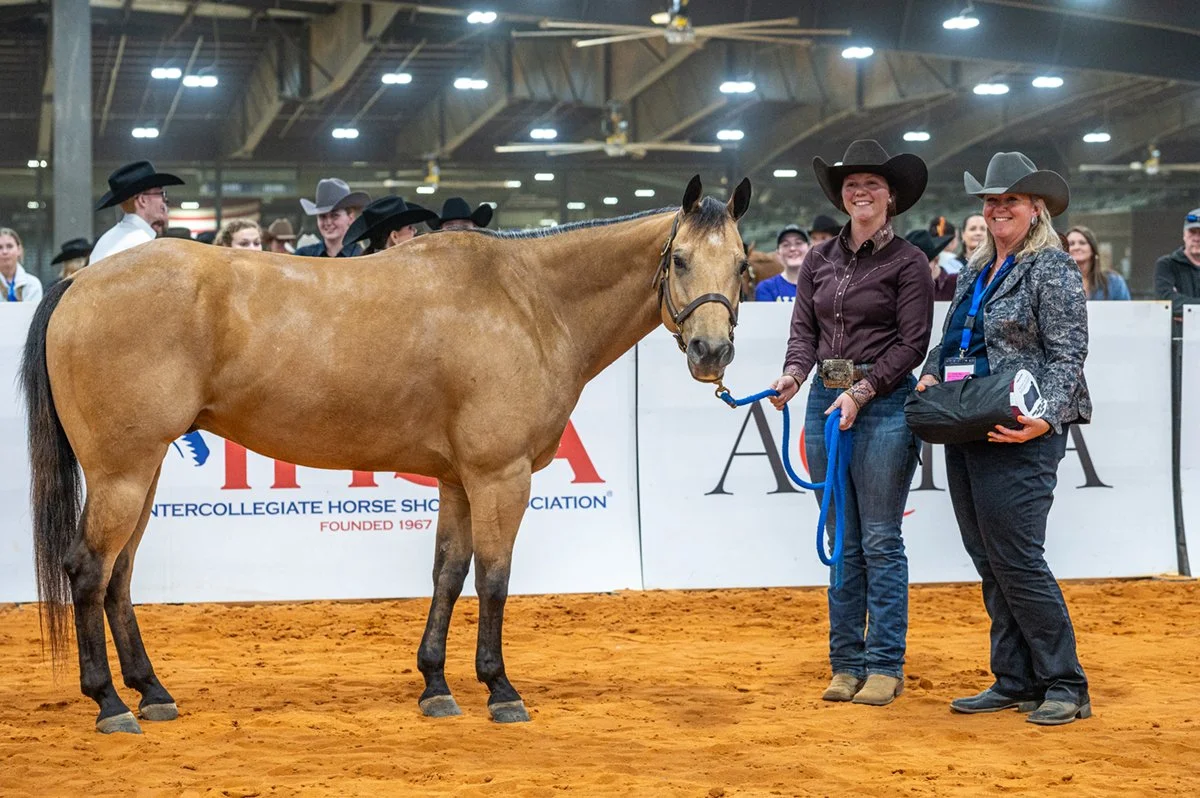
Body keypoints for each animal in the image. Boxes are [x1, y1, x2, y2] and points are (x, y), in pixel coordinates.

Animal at [22, 175, 752, 734]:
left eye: (744, 266)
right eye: (680, 260)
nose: (712, 353)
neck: (526, 299)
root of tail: (81, 285)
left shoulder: (459, 481)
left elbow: (447, 574)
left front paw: (436, 685)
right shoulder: (500, 477)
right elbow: (494, 578)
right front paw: (500, 690)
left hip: (139, 475)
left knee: (119, 576)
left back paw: (152, 691)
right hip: (122, 473)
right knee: (88, 571)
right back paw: (110, 703)